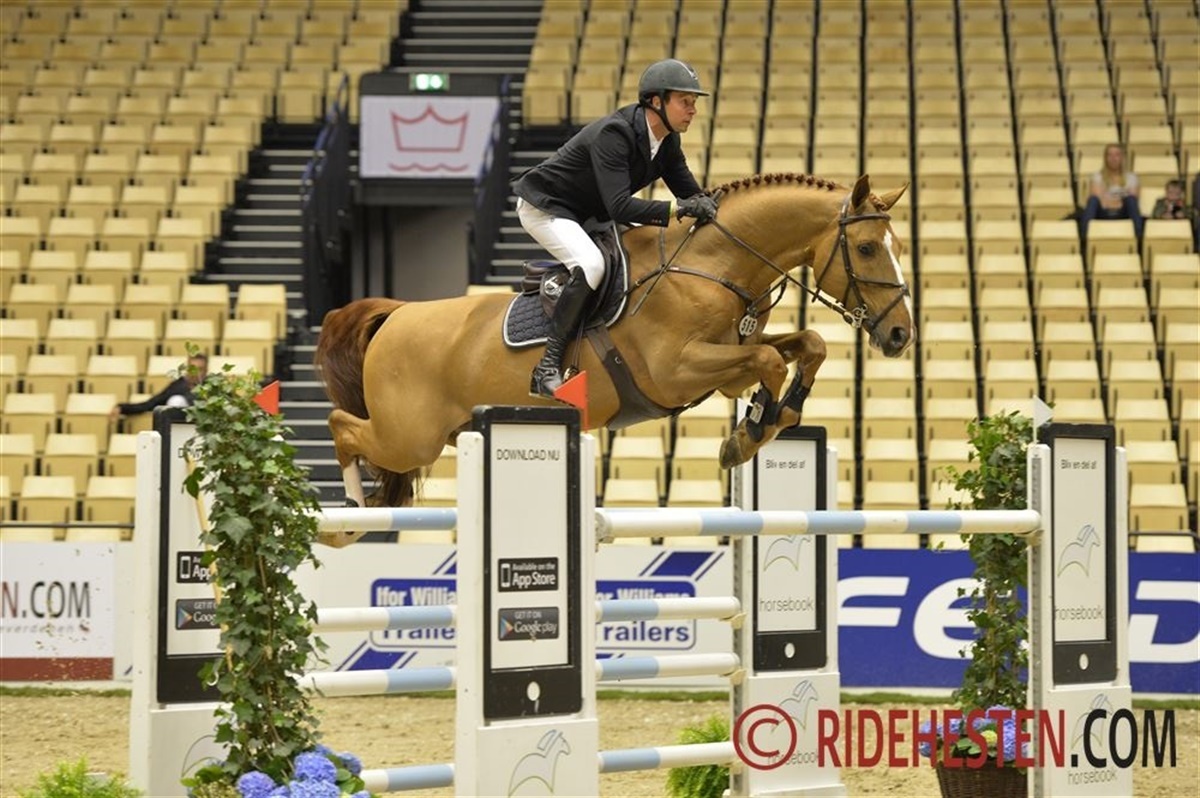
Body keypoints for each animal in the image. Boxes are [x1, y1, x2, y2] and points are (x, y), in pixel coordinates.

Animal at [315, 173, 914, 545]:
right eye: (866, 249)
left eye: (899, 248)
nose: (901, 335)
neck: (714, 263)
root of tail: (397, 314)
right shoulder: (677, 372)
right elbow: (769, 360)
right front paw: (749, 434)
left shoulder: (729, 357)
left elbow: (805, 345)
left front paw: (776, 416)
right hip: (409, 434)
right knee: (342, 425)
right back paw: (346, 521)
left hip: (432, 435)